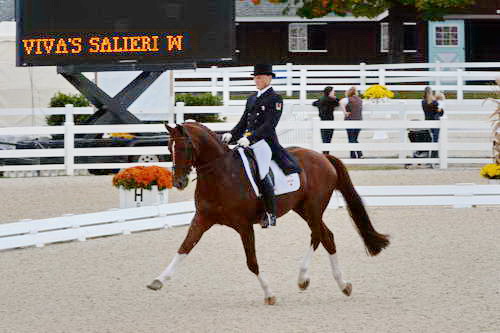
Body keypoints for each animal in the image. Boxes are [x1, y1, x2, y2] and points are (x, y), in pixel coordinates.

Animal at [148, 121, 390, 304]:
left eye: (185, 148)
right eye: (168, 148)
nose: (179, 182)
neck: (221, 174)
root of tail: (322, 157)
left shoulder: (243, 225)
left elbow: (252, 262)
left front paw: (269, 294)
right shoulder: (202, 219)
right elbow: (184, 248)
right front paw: (158, 280)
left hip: (313, 208)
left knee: (320, 236)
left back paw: (322, 281)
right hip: (302, 208)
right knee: (325, 236)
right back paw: (327, 283)